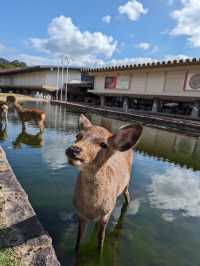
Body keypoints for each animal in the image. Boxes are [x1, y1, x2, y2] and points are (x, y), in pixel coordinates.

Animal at [65, 114, 142, 251]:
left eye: (104, 144)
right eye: (78, 135)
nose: (74, 150)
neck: (92, 208)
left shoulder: (107, 213)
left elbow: (101, 240)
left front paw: (99, 251)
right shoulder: (80, 214)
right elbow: (78, 240)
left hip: (127, 183)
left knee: (127, 196)